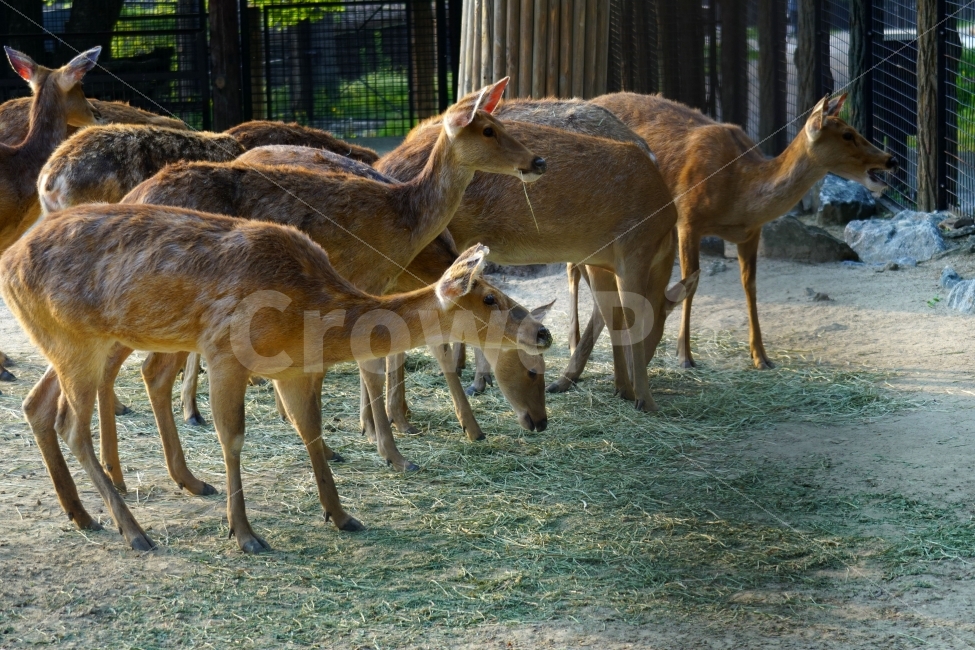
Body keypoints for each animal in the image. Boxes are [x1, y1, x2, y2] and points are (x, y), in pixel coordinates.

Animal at [1, 203, 552, 552]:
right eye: (490, 297)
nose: (544, 332)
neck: (308, 313)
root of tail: (7, 261)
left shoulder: (294, 369)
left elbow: (312, 431)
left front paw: (342, 515)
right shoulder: (224, 351)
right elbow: (232, 438)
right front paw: (245, 535)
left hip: (65, 343)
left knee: (38, 405)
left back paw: (83, 515)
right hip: (77, 344)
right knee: (73, 425)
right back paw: (134, 532)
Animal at [584, 92, 896, 372]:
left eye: (853, 130)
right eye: (847, 134)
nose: (890, 159)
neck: (738, 195)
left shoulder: (751, 233)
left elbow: (750, 286)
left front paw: (761, 357)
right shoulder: (688, 220)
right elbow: (690, 283)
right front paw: (684, 356)